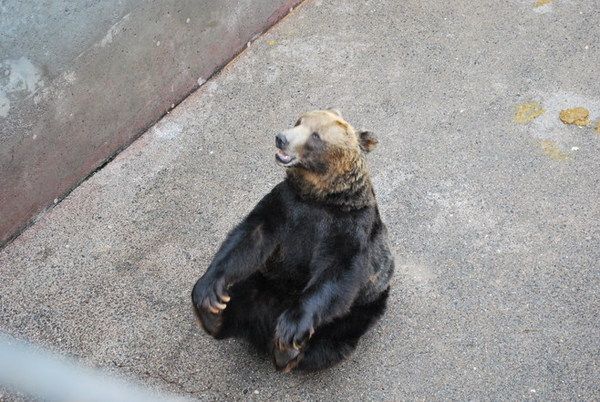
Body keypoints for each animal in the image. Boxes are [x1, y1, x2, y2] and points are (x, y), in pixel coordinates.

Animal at [192, 108, 394, 372]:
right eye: (299, 121)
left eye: (316, 135)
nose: (281, 138)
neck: (320, 196)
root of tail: (261, 328)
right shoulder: (284, 204)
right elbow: (249, 238)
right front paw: (208, 292)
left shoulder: (350, 226)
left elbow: (337, 270)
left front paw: (291, 329)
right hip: (263, 281)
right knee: (242, 294)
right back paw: (214, 317)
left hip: (363, 307)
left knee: (332, 340)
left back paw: (287, 351)